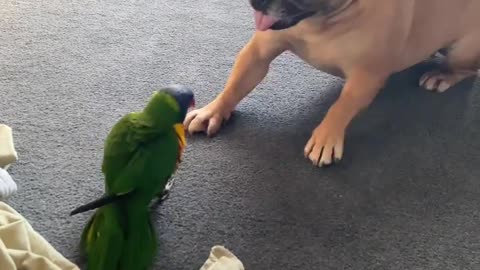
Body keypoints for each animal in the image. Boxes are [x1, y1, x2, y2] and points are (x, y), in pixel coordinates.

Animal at [182, 0, 478, 168]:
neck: (321, 21)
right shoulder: (258, 52)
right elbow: (235, 84)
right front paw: (213, 111)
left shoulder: (365, 78)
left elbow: (341, 107)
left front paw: (326, 136)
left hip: (462, 50)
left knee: (468, 70)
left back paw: (442, 75)